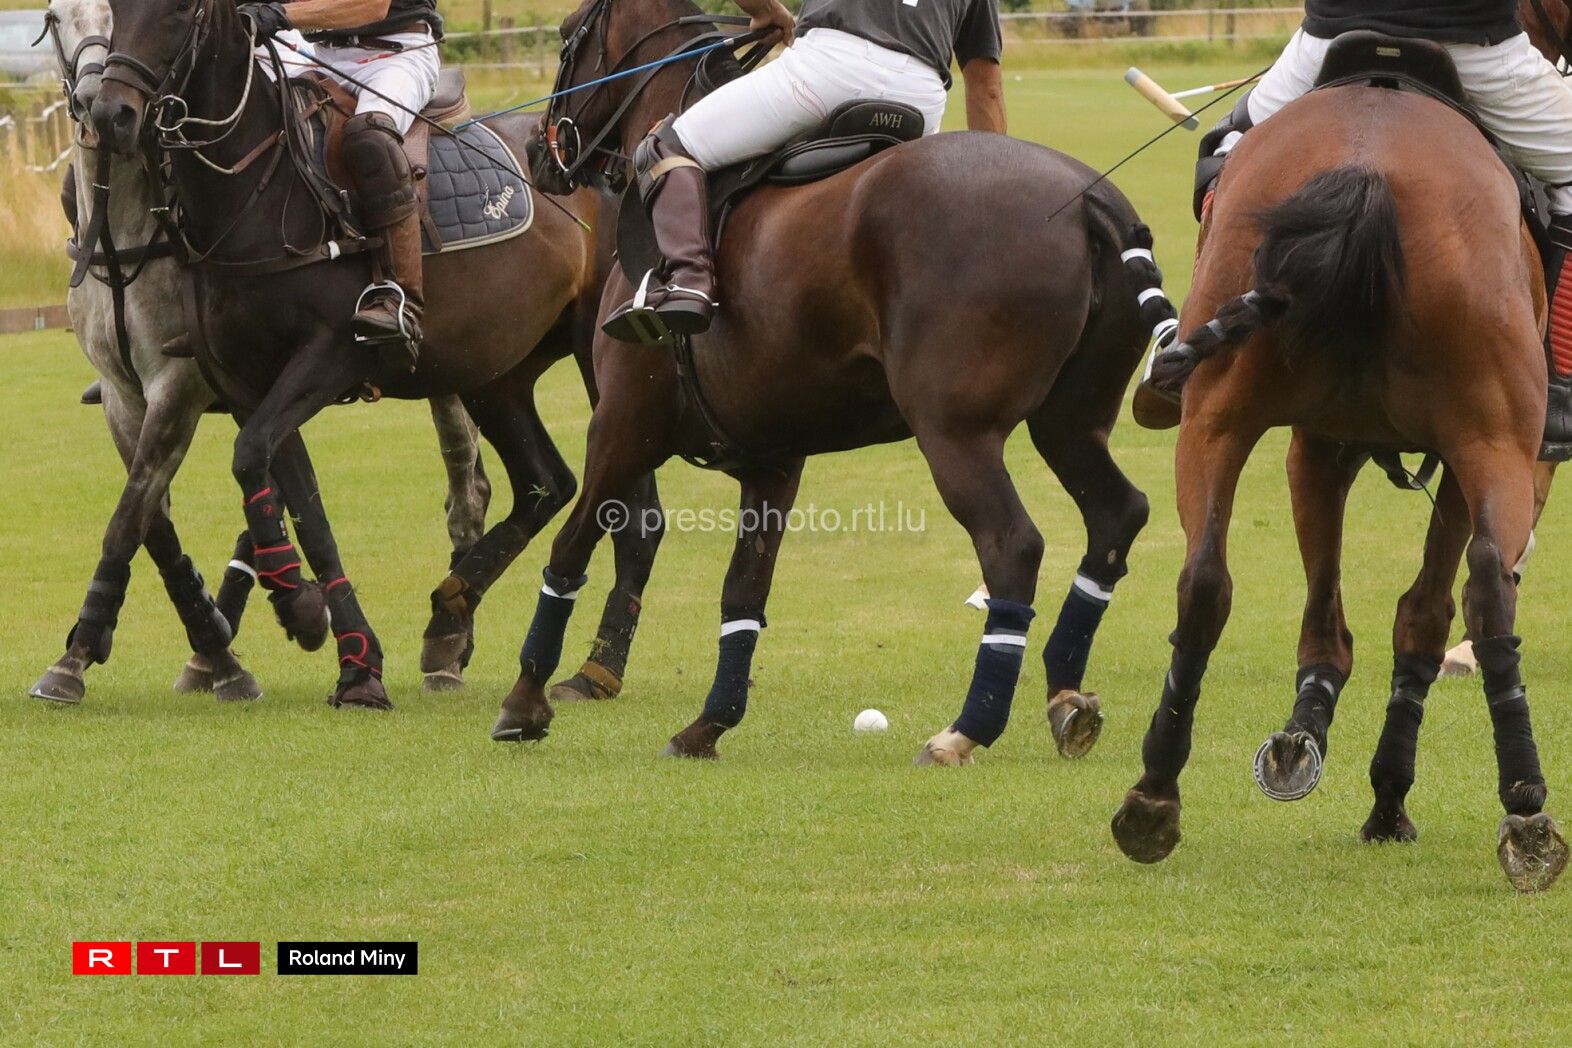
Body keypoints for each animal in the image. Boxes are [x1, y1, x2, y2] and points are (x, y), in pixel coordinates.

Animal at [27, 0, 494, 706]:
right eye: (58, 16)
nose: (105, 113)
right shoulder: (121, 392)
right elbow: (150, 519)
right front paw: (182, 647)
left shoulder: (180, 387)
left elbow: (132, 512)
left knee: (467, 488)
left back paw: (446, 647)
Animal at [91, 0, 666, 711]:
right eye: (116, 9)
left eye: (179, 11)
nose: (111, 115)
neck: (255, 189)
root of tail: (613, 166)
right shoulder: (254, 384)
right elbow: (299, 503)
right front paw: (350, 653)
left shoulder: (330, 356)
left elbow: (251, 459)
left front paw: (304, 611)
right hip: (494, 369)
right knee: (546, 482)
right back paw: (449, 615)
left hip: (605, 358)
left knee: (635, 515)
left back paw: (596, 668)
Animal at [487, 0, 1175, 761]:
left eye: (567, 35)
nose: (542, 152)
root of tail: (1089, 204)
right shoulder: (772, 459)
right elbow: (743, 595)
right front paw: (707, 726)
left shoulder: (624, 426)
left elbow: (571, 547)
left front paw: (525, 702)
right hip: (1071, 421)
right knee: (1116, 513)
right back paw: (1065, 698)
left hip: (955, 430)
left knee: (1012, 545)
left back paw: (966, 729)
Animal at [1110, 36, 1570, 892]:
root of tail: (1365, 173)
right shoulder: (1375, 449)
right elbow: (1413, 616)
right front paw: (1377, 791)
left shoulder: (1328, 441)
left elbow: (1355, 616)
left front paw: (1321, 744)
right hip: (1490, 438)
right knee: (1487, 588)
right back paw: (1526, 809)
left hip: (1218, 418)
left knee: (1203, 580)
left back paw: (1154, 795)